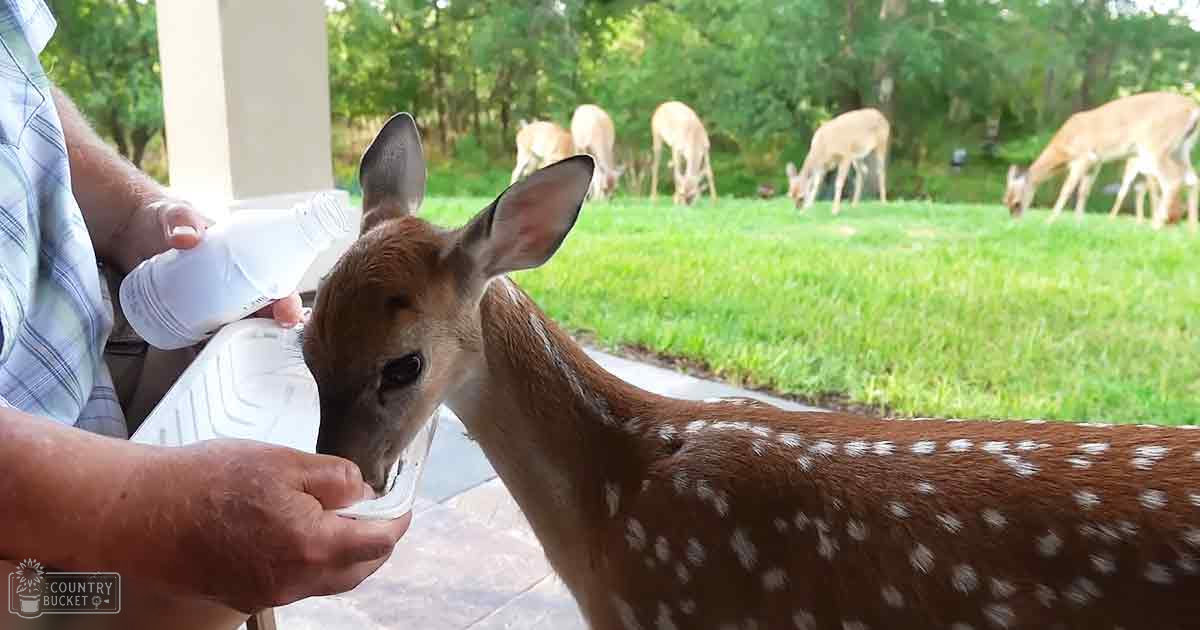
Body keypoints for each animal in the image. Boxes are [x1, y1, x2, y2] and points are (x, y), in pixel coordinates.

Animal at [1004, 91, 1200, 230]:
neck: (1063, 145)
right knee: (1191, 179)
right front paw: (1078, 224)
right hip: (1181, 148)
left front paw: (1049, 222)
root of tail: (1192, 108)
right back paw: (1190, 231)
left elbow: (1067, 190)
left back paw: (1157, 226)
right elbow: (1084, 192)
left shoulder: (1082, 157)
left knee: (1172, 180)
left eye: (1017, 203)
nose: (1015, 224)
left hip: (1155, 146)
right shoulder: (1095, 163)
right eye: (1005, 202)